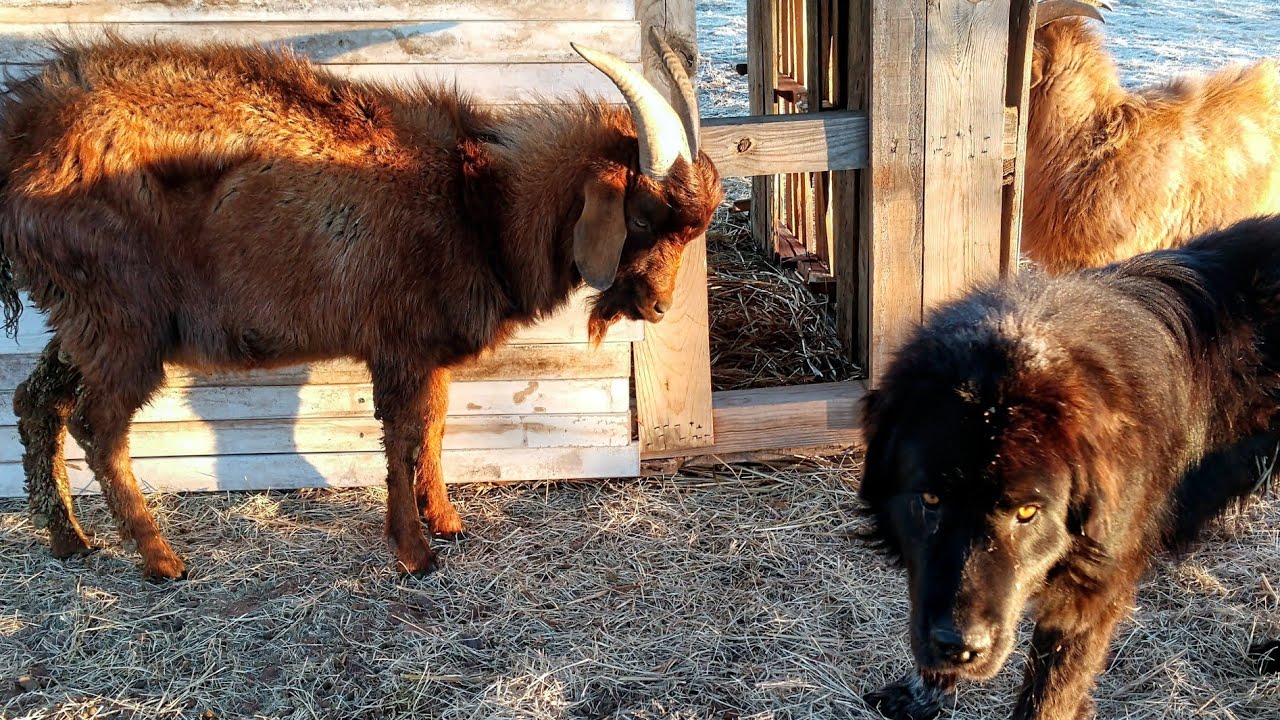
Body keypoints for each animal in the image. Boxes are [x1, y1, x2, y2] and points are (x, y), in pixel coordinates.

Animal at [0, 32, 723, 580]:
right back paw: (160, 560)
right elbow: (400, 438)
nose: (659, 307)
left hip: (78, 317)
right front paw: (414, 552)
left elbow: (433, 428)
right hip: (124, 320)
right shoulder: (397, 344)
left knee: (37, 400)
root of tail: (22, 141)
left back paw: (69, 540)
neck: (477, 205)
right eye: (642, 213)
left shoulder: (428, 353)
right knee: (97, 425)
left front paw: (447, 521)